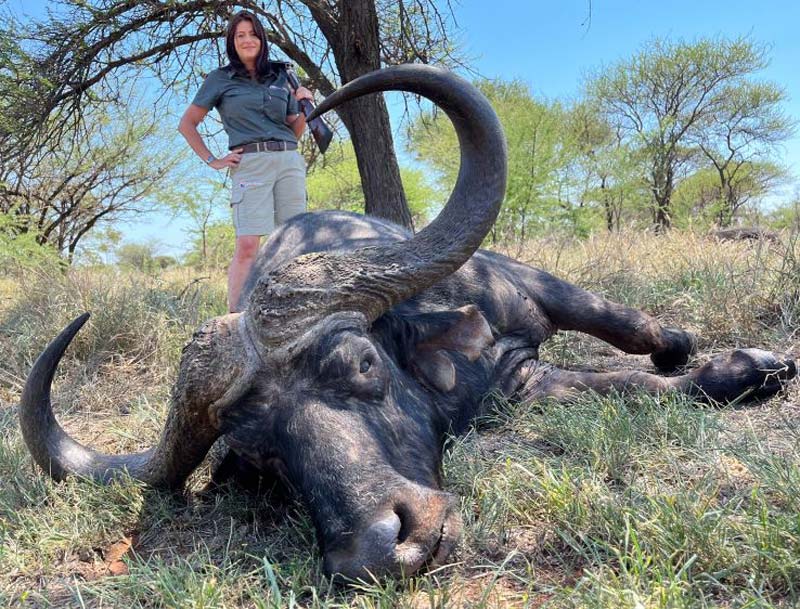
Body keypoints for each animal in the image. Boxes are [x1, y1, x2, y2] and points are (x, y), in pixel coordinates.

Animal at [20, 65, 797, 581]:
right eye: (264, 457)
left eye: (362, 364)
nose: (375, 548)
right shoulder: (520, 384)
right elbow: (617, 384)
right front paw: (740, 369)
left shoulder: (532, 287)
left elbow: (636, 332)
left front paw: (744, 361)